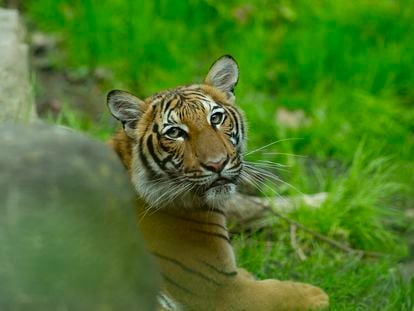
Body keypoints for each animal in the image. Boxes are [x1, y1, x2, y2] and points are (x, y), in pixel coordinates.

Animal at [107, 54, 330, 310]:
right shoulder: (221, 289)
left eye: (216, 118)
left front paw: (323, 202)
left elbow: (259, 205)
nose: (217, 164)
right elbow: (278, 292)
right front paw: (317, 294)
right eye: (174, 133)